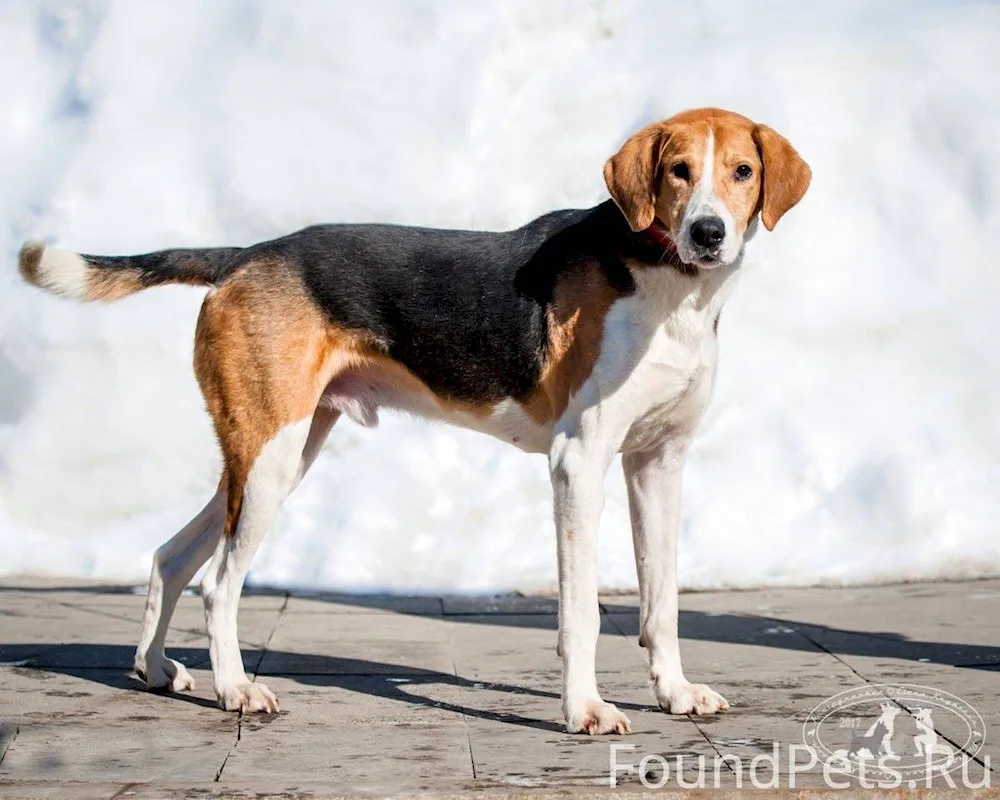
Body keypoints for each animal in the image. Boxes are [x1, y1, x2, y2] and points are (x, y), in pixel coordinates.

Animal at [19, 109, 808, 736]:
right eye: (679, 172)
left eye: (741, 171)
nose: (708, 233)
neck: (671, 284)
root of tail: (246, 255)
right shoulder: (579, 462)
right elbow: (582, 612)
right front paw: (584, 710)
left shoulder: (658, 463)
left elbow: (662, 602)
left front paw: (675, 694)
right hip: (270, 460)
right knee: (218, 583)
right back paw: (237, 689)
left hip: (273, 453)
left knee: (170, 557)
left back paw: (156, 670)